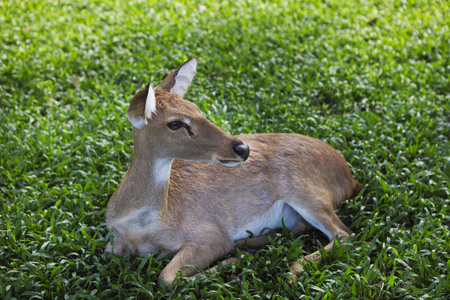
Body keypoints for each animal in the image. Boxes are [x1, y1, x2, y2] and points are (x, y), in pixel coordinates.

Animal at [106, 56, 366, 286]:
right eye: (175, 123)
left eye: (196, 108)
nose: (242, 148)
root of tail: (350, 178)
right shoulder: (113, 241)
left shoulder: (208, 234)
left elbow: (166, 277)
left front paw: (230, 264)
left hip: (306, 190)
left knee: (344, 234)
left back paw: (287, 272)